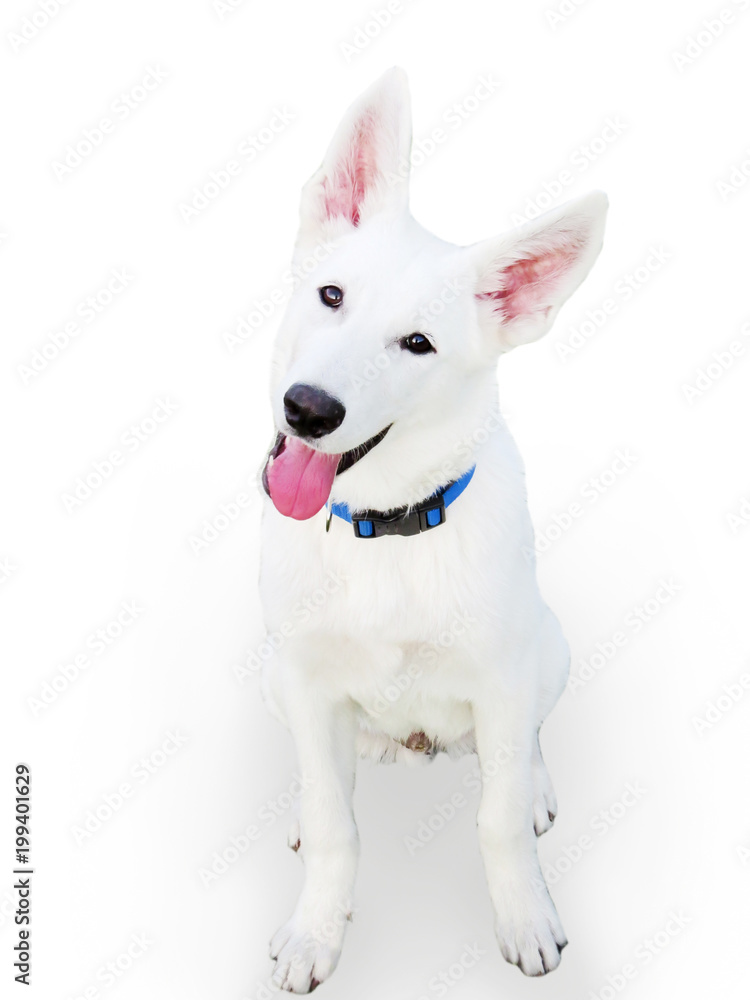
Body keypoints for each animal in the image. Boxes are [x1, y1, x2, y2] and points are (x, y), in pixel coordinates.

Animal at [262, 68, 608, 992]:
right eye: (331, 296)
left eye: (417, 344)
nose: (307, 411)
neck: (390, 531)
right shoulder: (305, 678)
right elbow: (336, 824)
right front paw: (315, 930)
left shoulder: (502, 677)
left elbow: (497, 822)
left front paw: (526, 915)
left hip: (547, 648)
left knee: (523, 745)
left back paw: (534, 786)